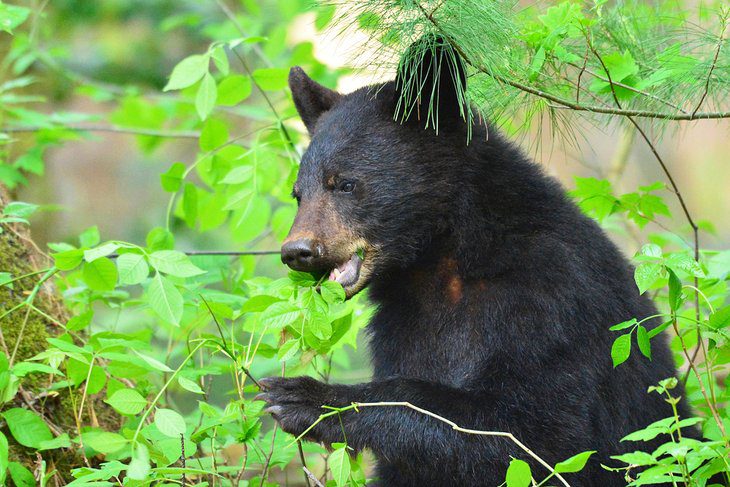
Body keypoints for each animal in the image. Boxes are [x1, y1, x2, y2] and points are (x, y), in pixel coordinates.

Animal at [258, 36, 692, 486]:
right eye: (298, 193)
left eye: (345, 183)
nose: (297, 251)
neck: (445, 257)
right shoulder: (402, 322)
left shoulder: (550, 296)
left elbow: (531, 429)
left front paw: (307, 397)